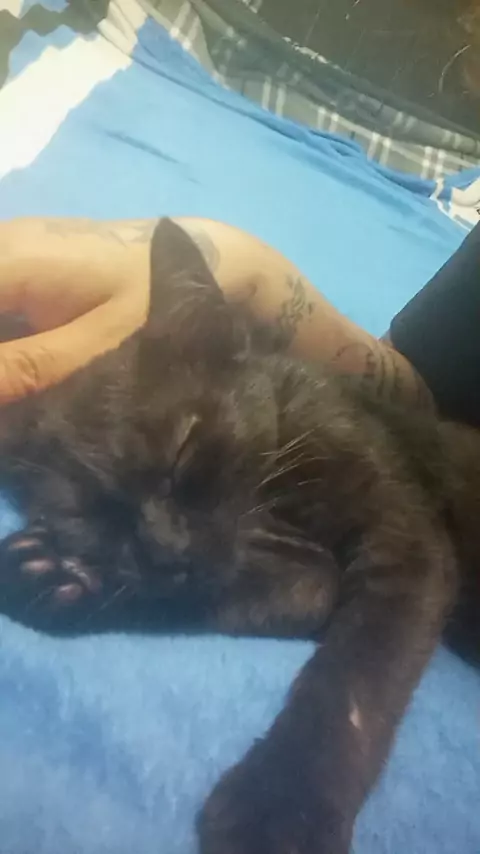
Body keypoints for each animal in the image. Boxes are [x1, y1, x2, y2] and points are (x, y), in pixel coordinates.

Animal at [0, 218, 478, 854]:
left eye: (182, 450)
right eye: (96, 516)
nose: (165, 547)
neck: (275, 501)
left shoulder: (407, 544)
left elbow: (353, 682)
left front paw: (280, 808)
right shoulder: (299, 573)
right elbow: (245, 598)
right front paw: (59, 581)